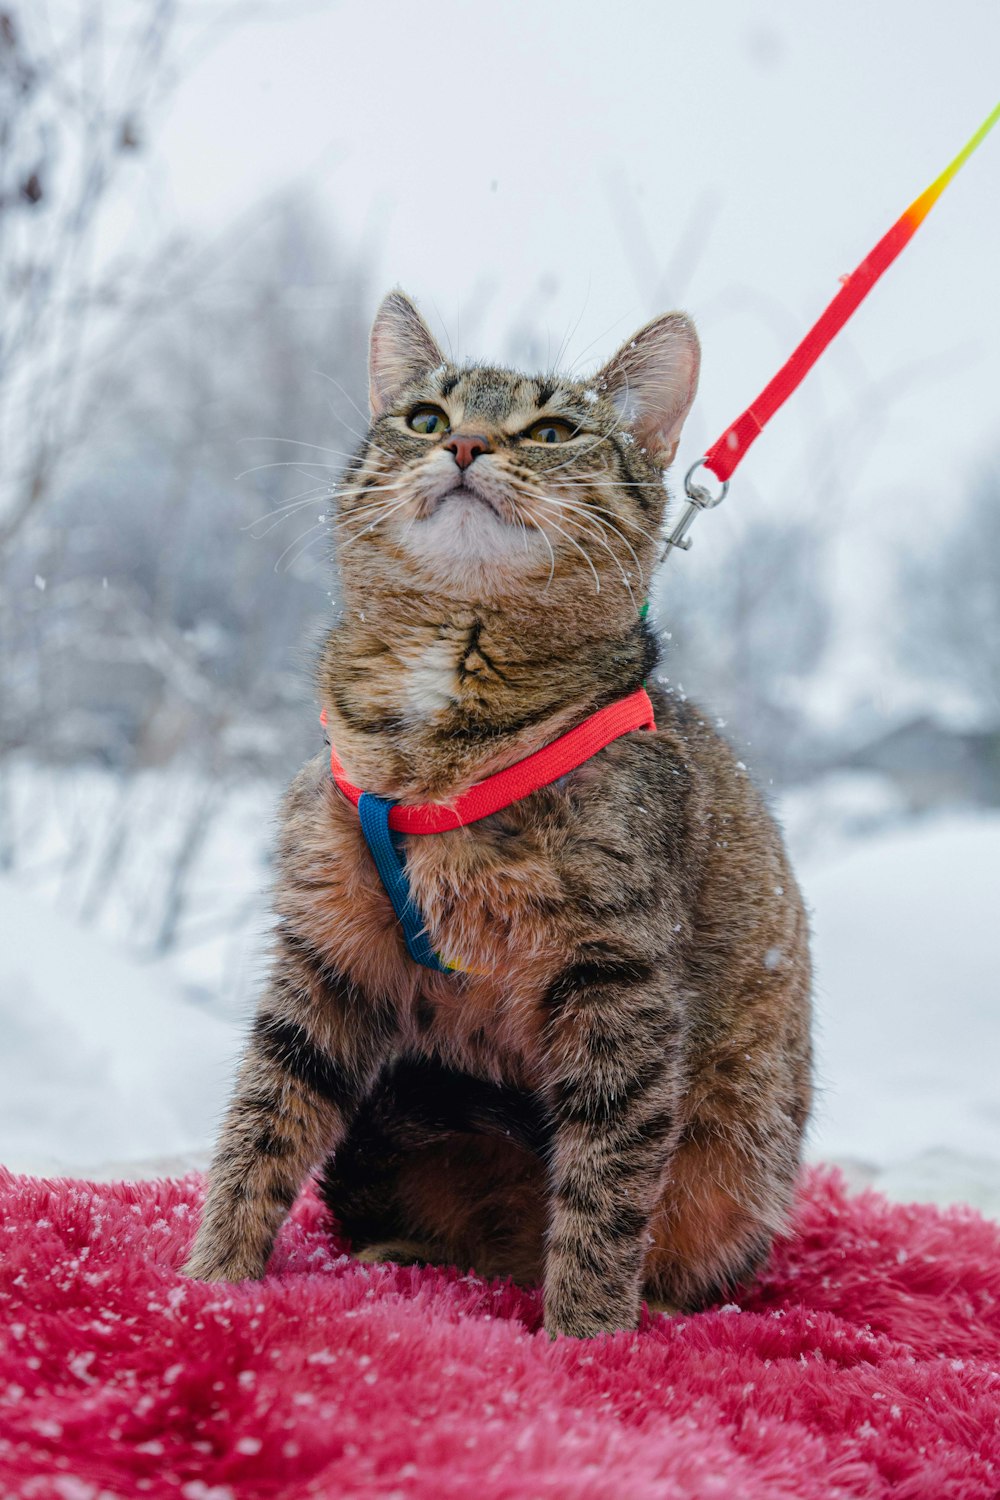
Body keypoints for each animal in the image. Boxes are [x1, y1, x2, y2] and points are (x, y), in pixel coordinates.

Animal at [185, 289, 815, 1338]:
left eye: (553, 431)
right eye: (424, 417)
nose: (467, 444)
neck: (438, 739)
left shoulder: (619, 980)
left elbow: (607, 1184)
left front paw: (585, 1341)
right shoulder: (325, 951)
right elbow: (261, 1121)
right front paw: (206, 1282)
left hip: (738, 1159)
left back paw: (649, 1309)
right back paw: (413, 1255)